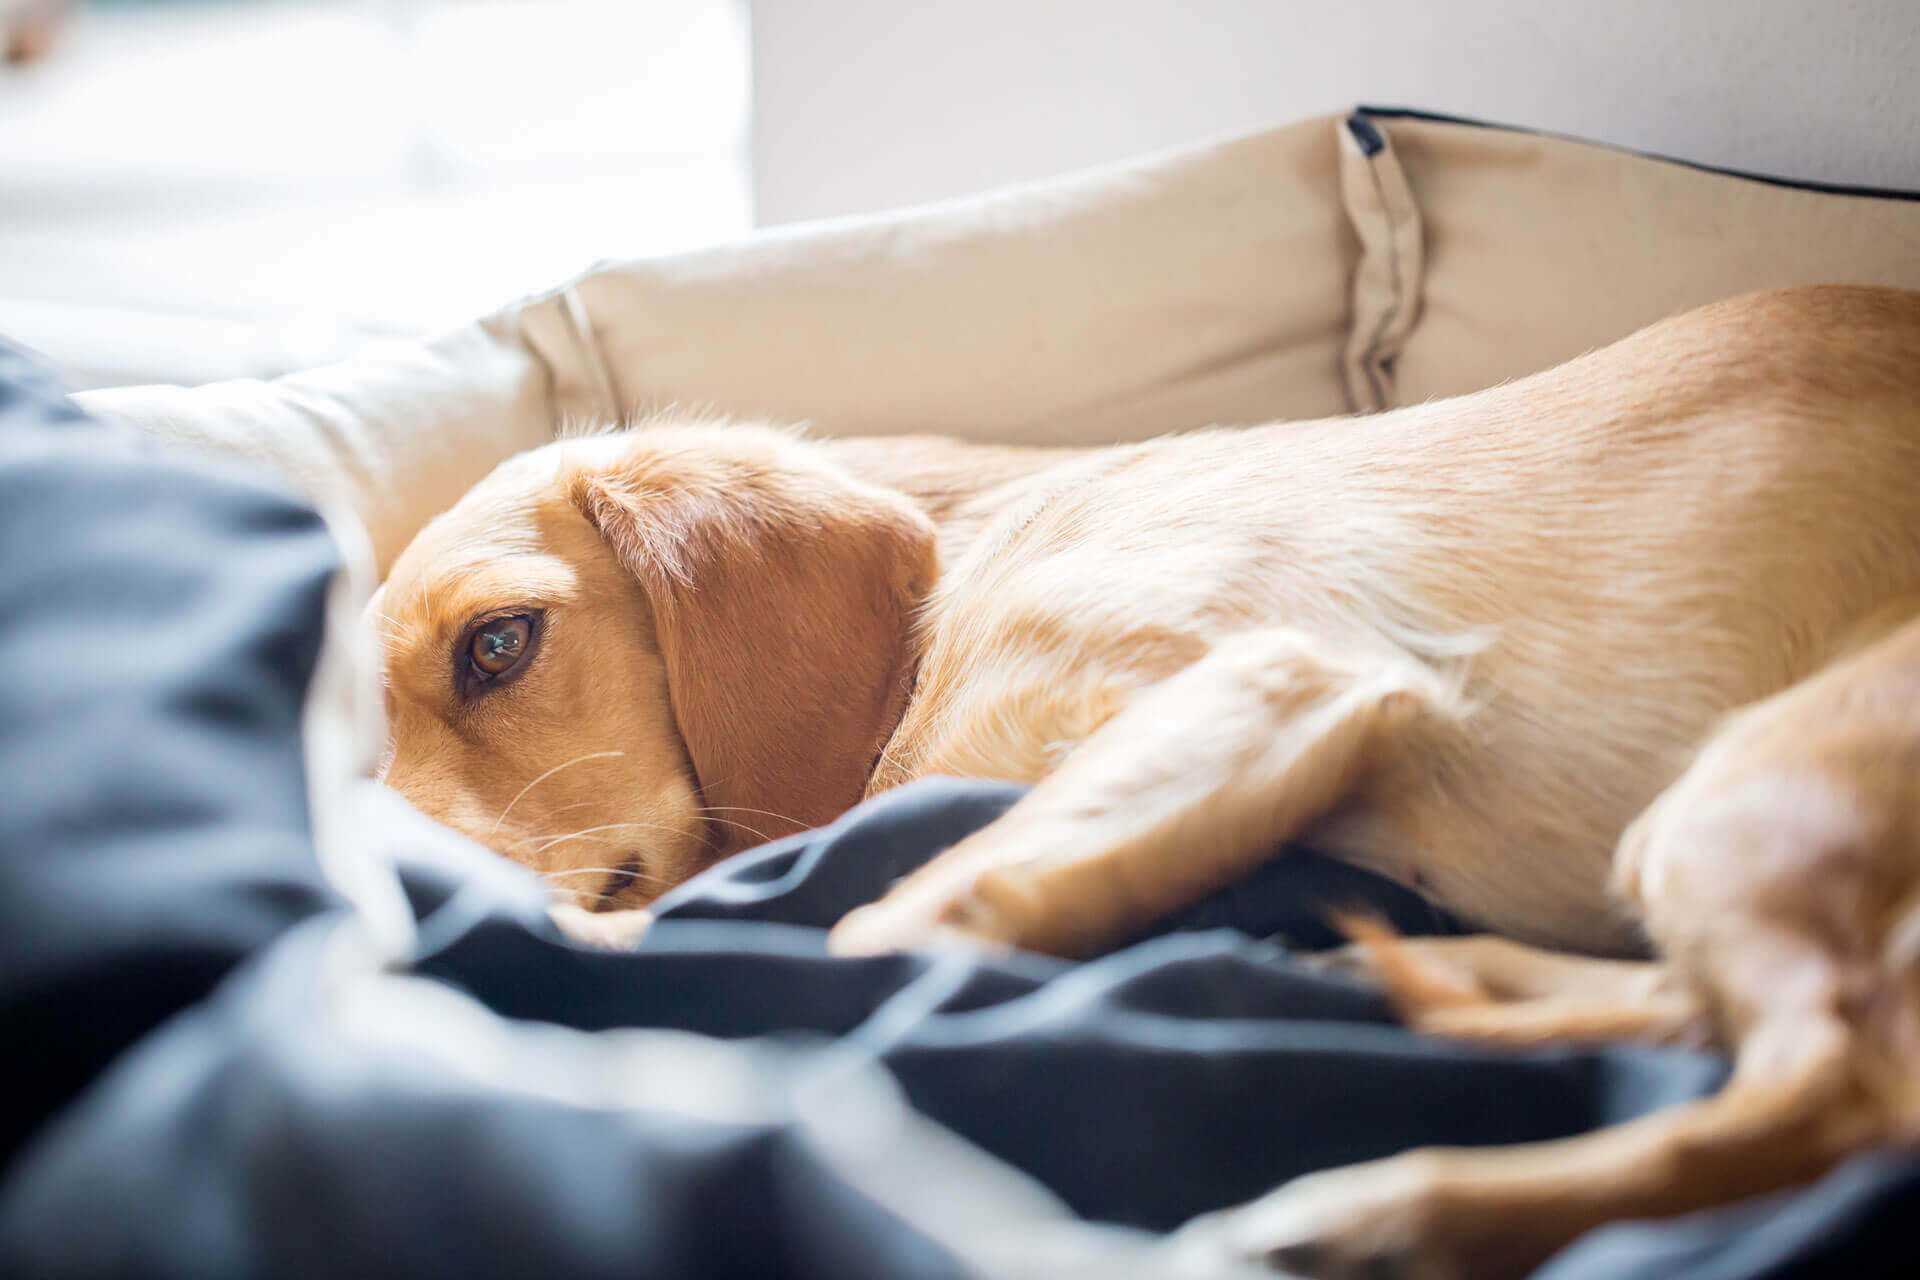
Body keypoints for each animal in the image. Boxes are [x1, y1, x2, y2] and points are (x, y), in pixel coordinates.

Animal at [374, 285, 1920, 1274]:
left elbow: (876, 919)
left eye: (500, 643)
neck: (960, 572)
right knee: (1705, 1021)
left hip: (1738, 802)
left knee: (1827, 1085)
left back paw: (1391, 1213)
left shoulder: (1266, 682)